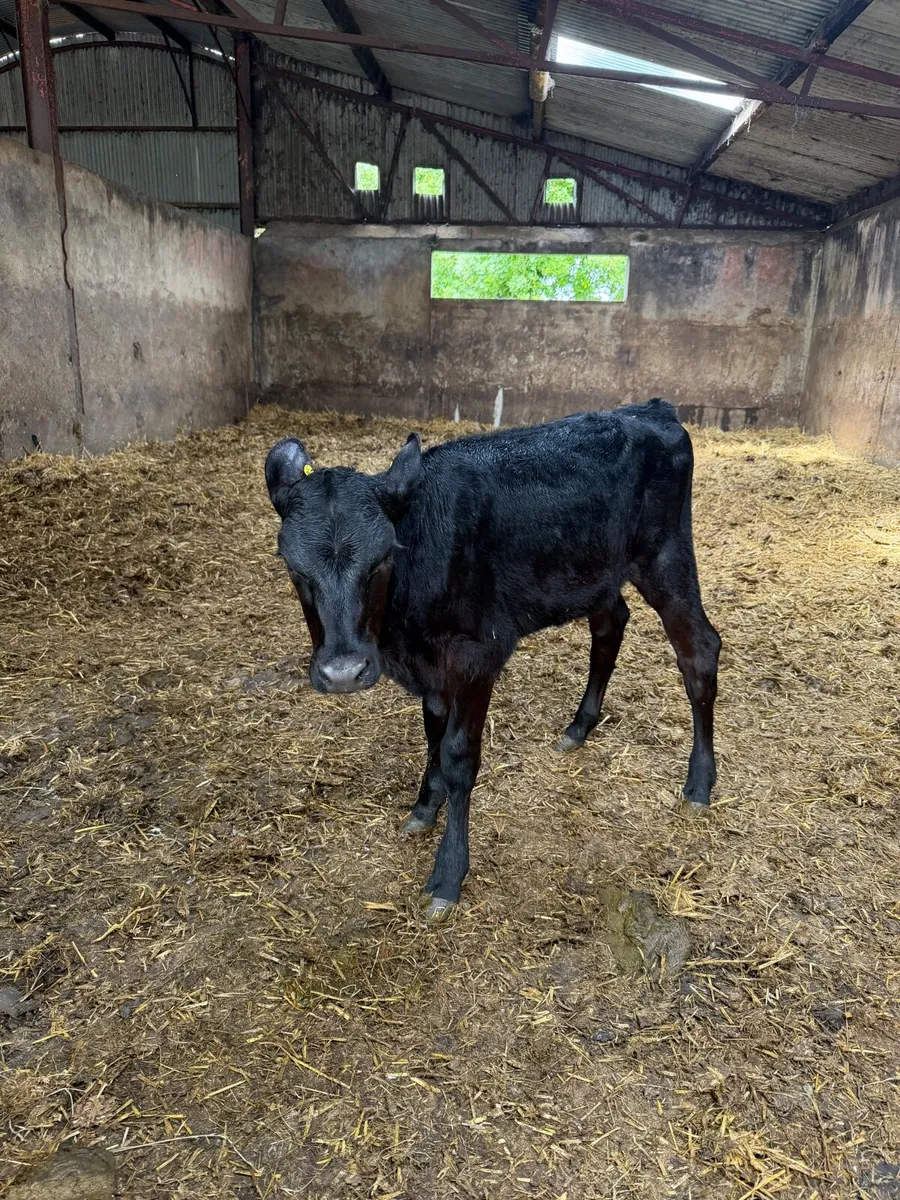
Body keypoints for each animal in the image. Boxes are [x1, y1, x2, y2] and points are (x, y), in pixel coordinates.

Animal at [264, 400, 721, 922]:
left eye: (382, 559)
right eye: (294, 567)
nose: (343, 673)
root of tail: (651, 409)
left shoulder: (476, 654)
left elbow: (459, 756)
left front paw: (447, 875)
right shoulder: (431, 667)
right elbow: (433, 734)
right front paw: (425, 806)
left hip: (666, 557)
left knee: (699, 651)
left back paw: (699, 784)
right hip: (596, 571)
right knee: (610, 626)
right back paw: (579, 726)